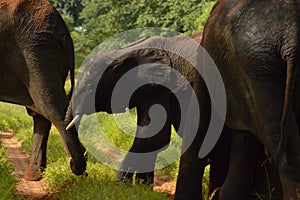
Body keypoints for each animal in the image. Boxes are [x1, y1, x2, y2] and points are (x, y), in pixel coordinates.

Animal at [68, 33, 232, 199]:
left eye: (90, 88)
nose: (78, 168)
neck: (125, 51)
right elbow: (153, 140)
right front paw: (143, 189)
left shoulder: (161, 87)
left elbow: (152, 138)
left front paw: (125, 188)